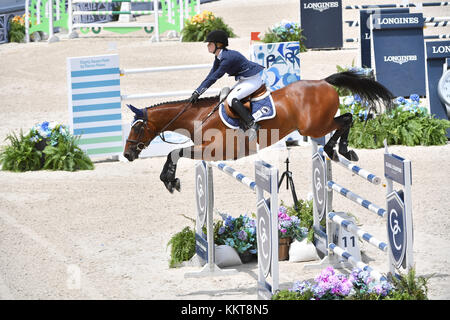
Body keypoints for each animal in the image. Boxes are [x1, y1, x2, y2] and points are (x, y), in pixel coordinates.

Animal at [123, 71, 394, 192]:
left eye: (137, 127)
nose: (127, 154)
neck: (199, 117)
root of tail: (324, 82)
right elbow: (174, 153)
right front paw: (169, 179)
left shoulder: (212, 150)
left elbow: (174, 153)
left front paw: (170, 180)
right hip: (318, 123)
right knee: (345, 119)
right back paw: (336, 149)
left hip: (314, 125)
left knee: (346, 120)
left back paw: (340, 149)